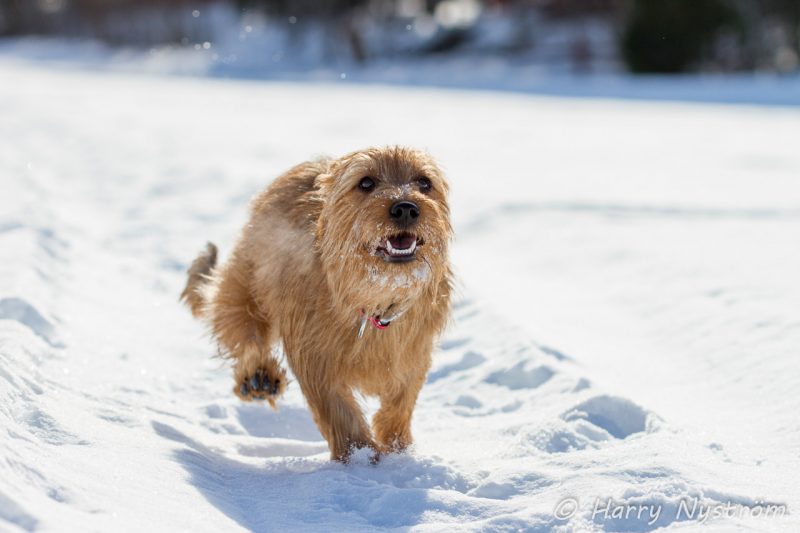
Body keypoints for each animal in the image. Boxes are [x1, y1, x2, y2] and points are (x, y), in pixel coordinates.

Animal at [184, 147, 454, 462]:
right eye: (366, 182)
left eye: (424, 182)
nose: (406, 207)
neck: (373, 298)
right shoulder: (314, 358)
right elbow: (338, 411)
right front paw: (361, 457)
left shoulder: (414, 355)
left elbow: (401, 402)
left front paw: (398, 451)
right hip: (246, 285)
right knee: (245, 332)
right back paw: (258, 377)